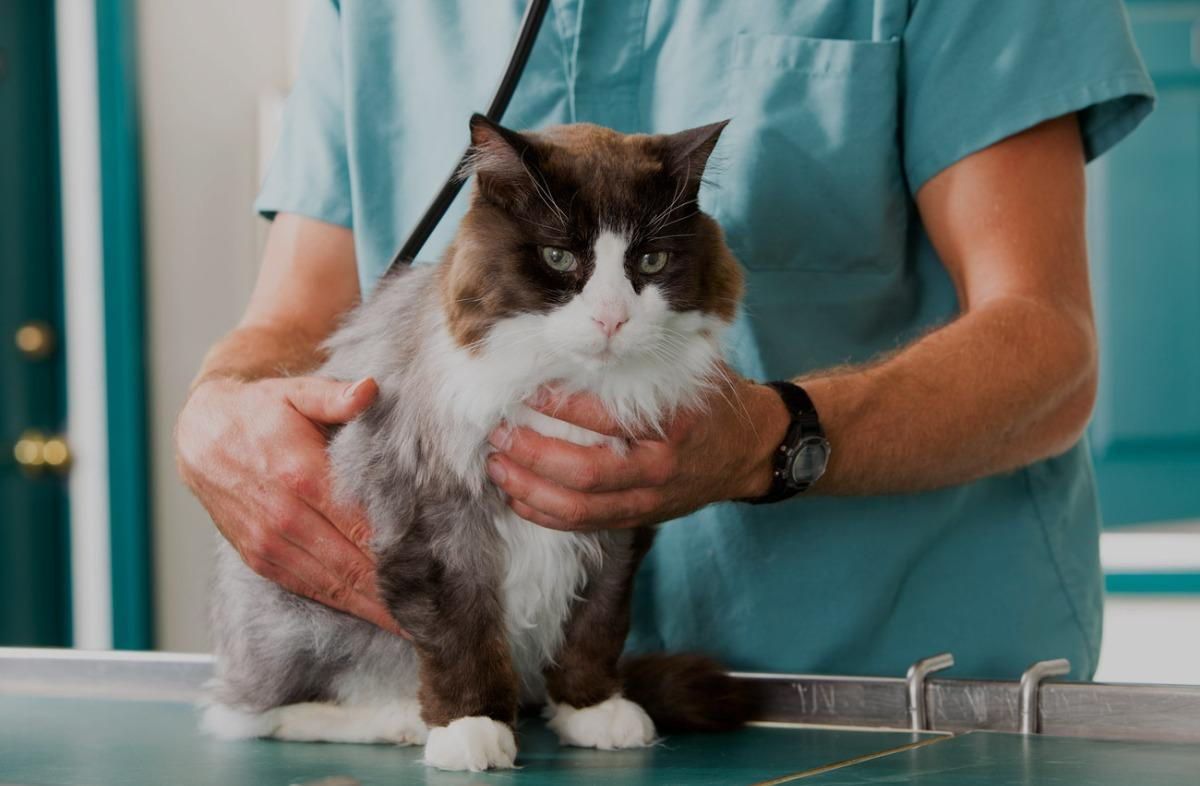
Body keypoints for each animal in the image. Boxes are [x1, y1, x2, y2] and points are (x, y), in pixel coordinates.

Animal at [204, 114, 748, 772]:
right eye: (558, 257)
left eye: (650, 260)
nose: (611, 319)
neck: (568, 385)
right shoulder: (437, 523)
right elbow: (461, 637)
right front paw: (472, 728)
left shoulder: (616, 524)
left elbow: (595, 626)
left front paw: (592, 709)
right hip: (301, 620)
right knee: (250, 714)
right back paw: (396, 720)